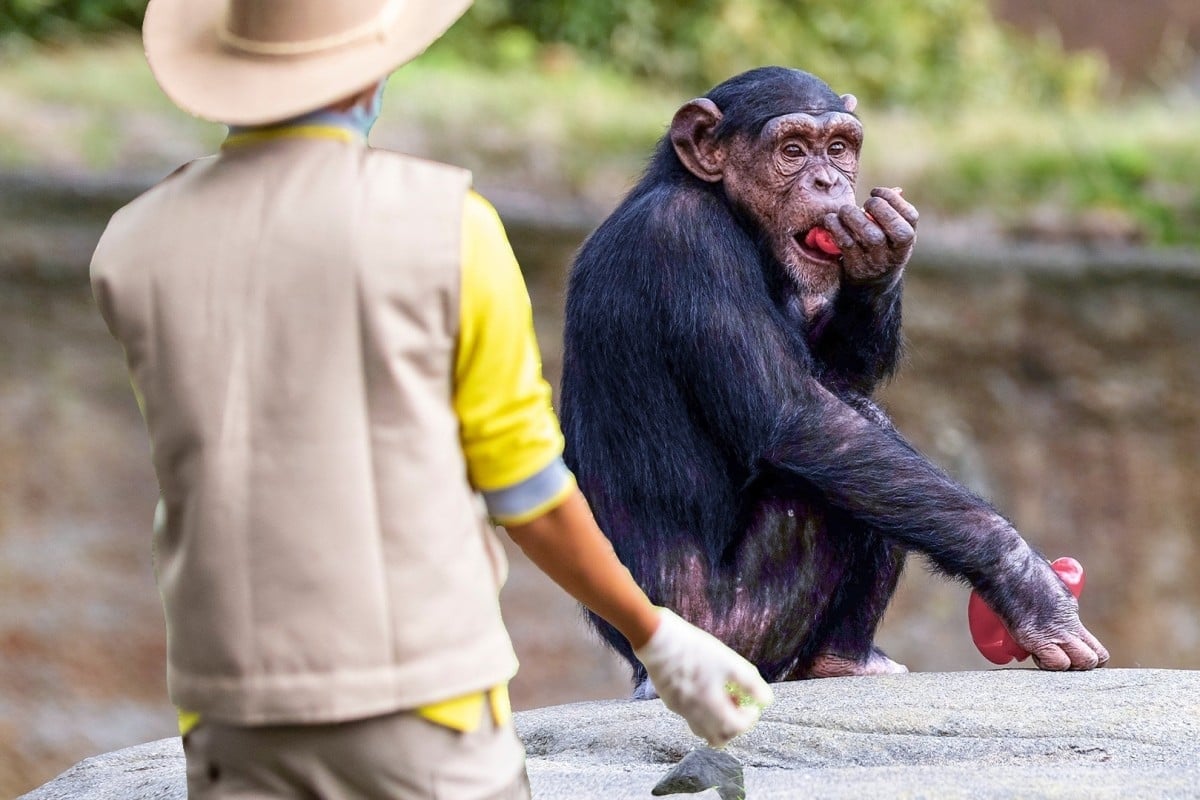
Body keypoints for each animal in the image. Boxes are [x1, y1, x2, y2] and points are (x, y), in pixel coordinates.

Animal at [556, 68, 1108, 695]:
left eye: (839, 148)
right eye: (793, 150)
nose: (827, 180)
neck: (726, 208)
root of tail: (640, 670)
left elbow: (835, 373)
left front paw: (881, 252)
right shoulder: (687, 242)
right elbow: (796, 416)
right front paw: (1028, 584)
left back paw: (846, 660)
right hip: (734, 630)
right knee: (838, 457)